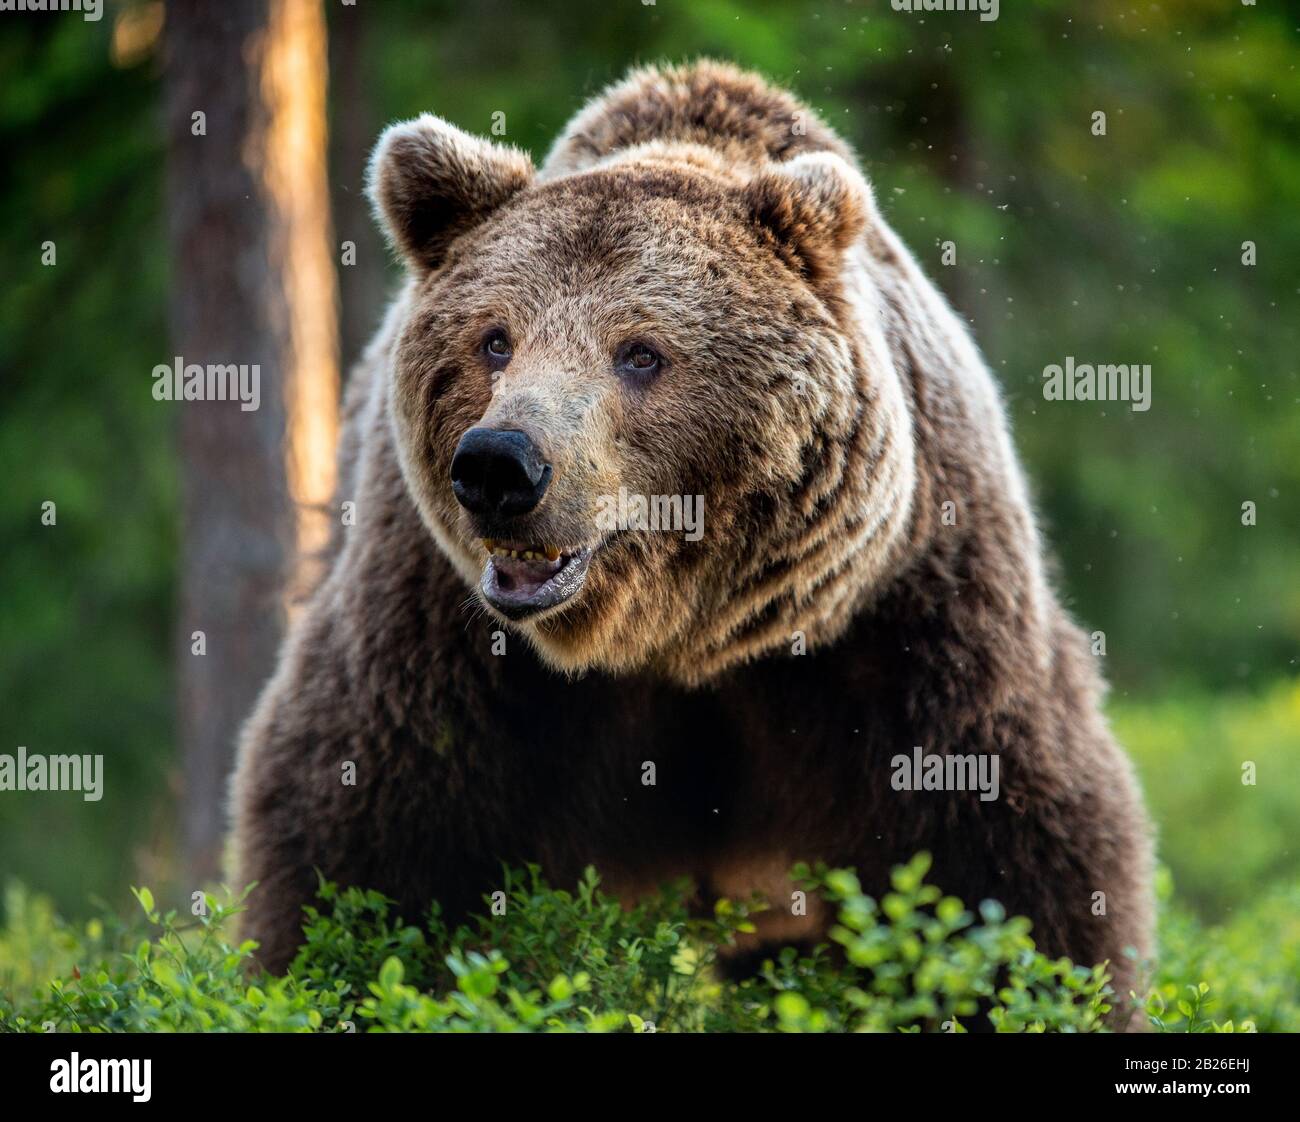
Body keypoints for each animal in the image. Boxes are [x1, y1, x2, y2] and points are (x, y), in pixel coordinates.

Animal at [228, 59, 1154, 1024]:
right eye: (494, 339)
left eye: (640, 352)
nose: (500, 465)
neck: (680, 640)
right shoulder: (445, 635)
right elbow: (366, 843)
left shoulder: (905, 621)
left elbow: (1012, 865)